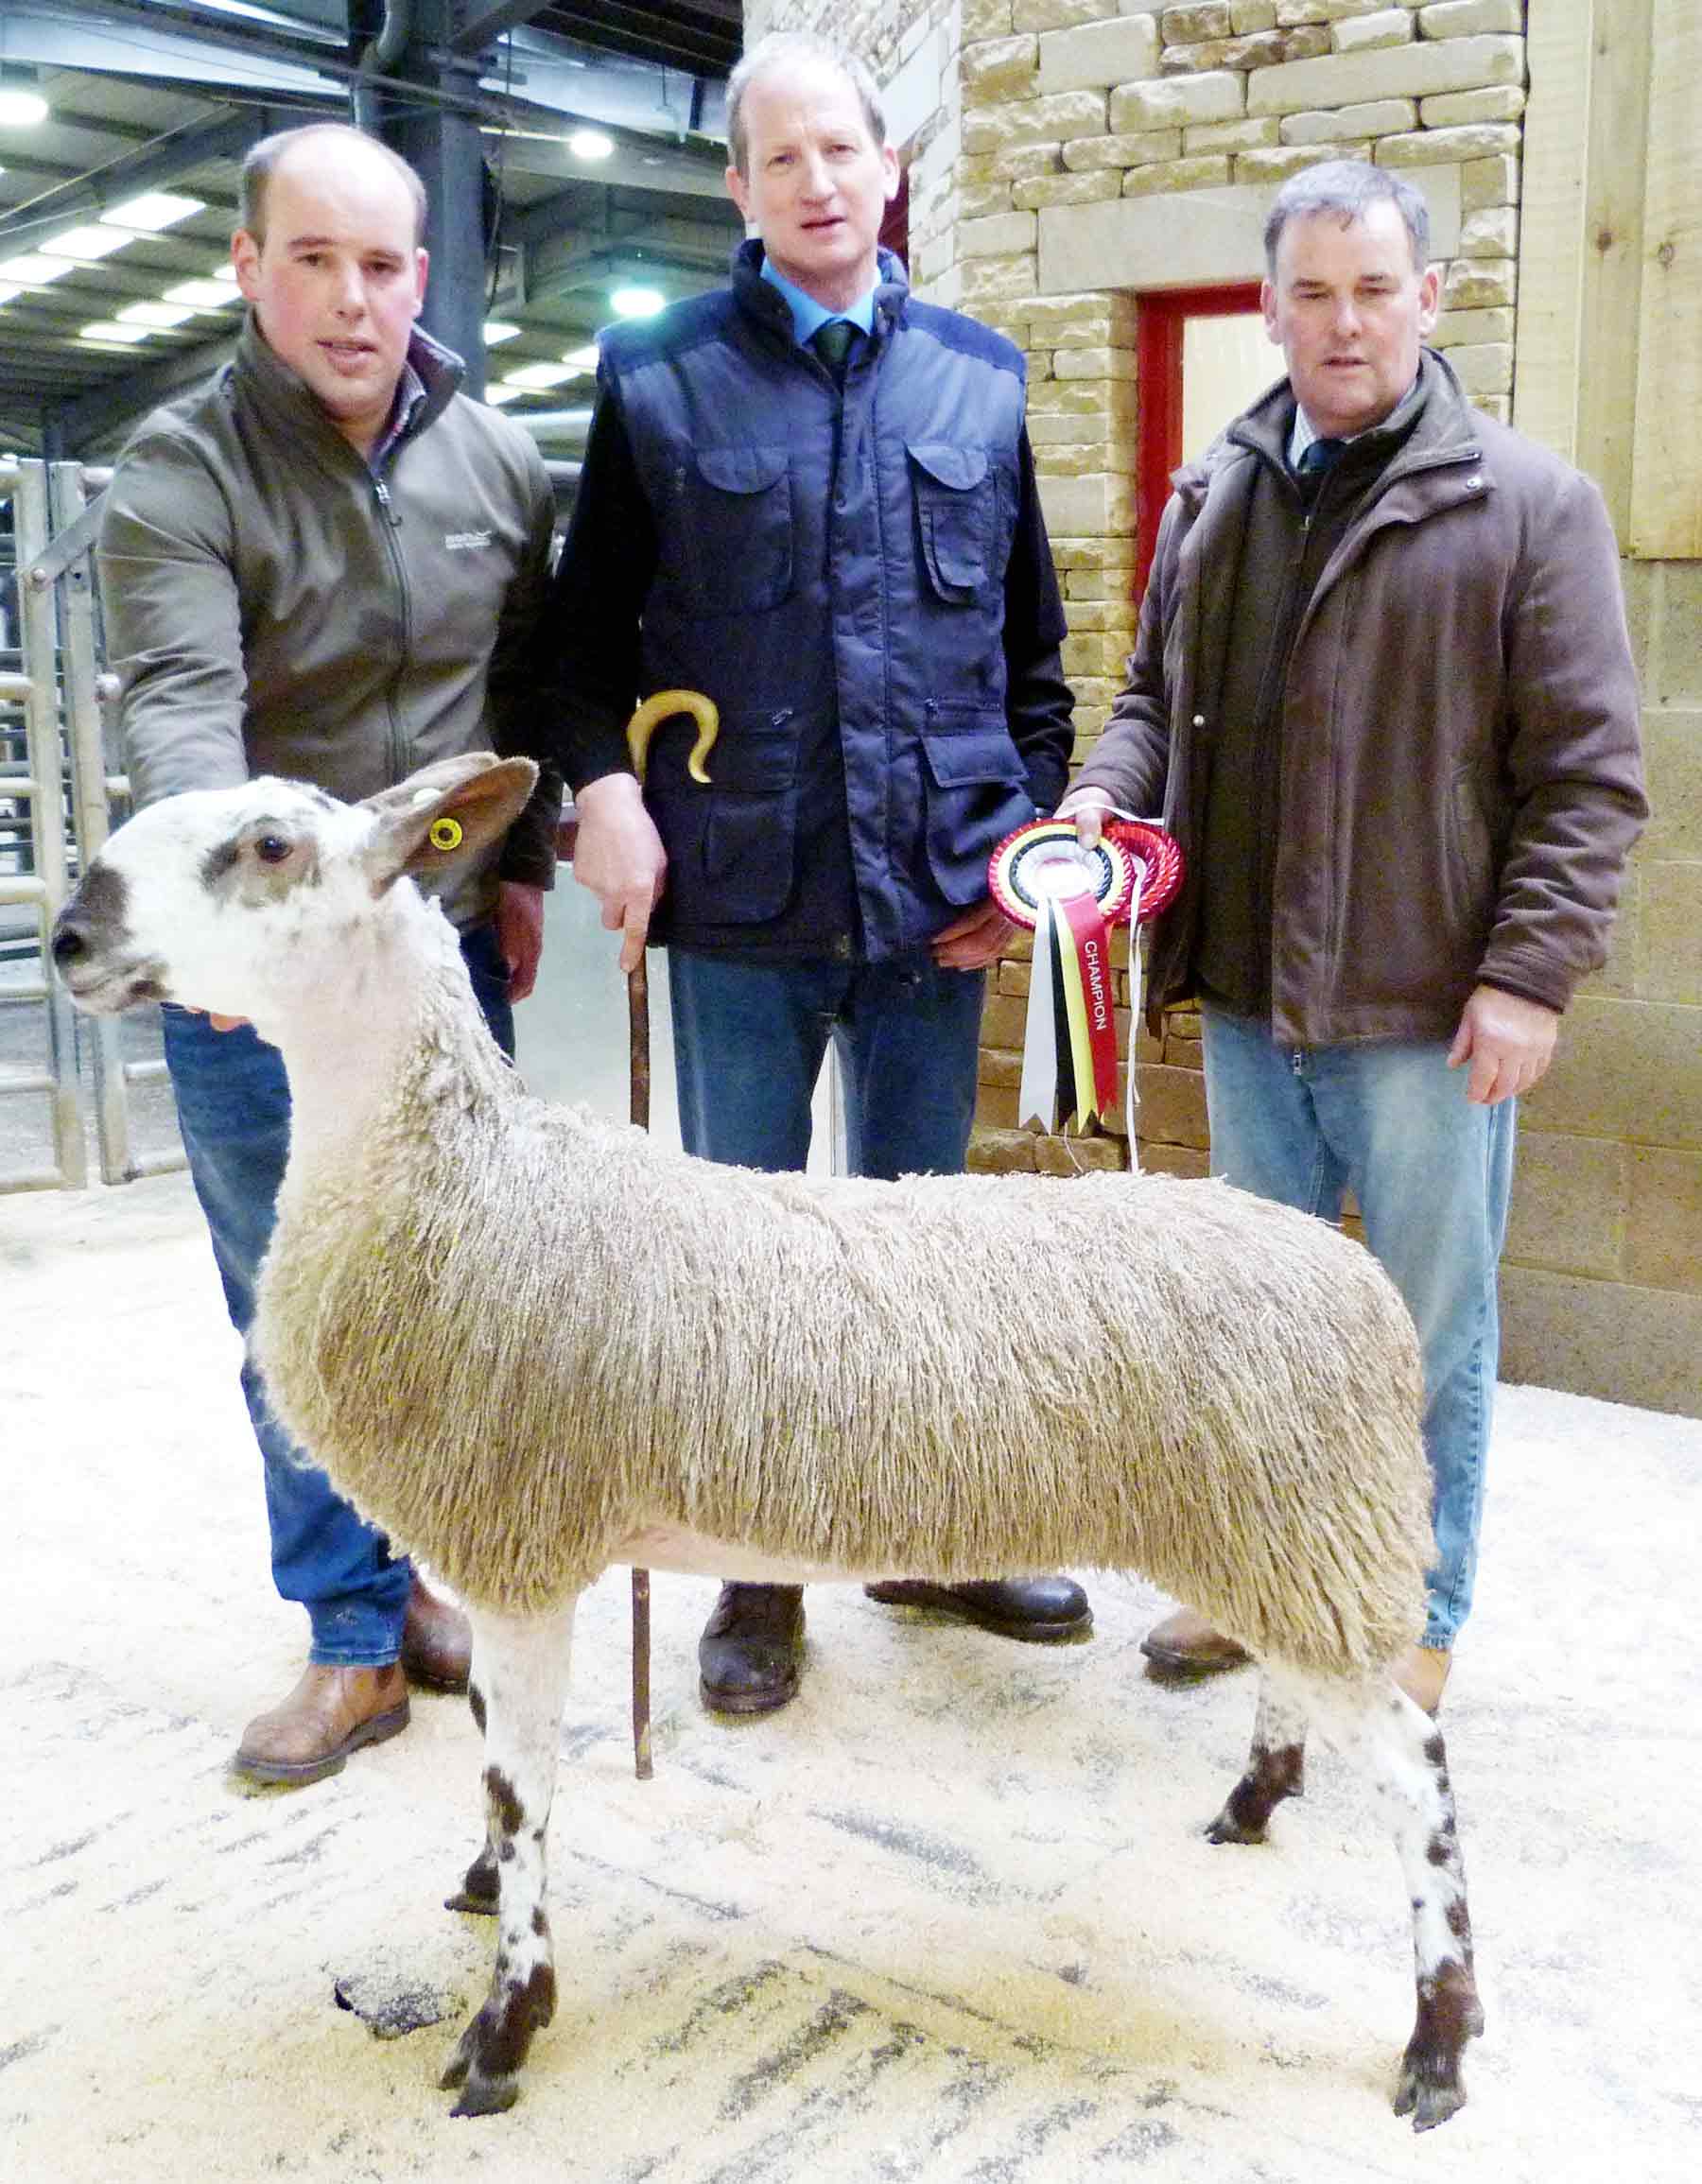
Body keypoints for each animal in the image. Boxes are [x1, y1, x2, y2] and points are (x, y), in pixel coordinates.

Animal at [53, 755, 1485, 2131]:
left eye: (269, 846)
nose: (68, 937)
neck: (461, 1175)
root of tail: (1357, 1282)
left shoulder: (521, 1551)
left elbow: (521, 1789)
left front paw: (507, 2025)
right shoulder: (505, 1551)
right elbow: (497, 1769)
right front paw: (479, 1892)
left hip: (1304, 1524)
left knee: (1419, 1777)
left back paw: (1440, 2037)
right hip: (1279, 1530)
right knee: (1301, 1683)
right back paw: (1254, 1802)